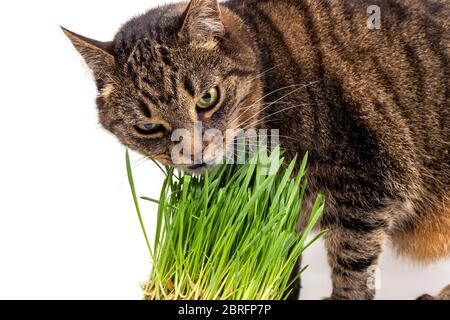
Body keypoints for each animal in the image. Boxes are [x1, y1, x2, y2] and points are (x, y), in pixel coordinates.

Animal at [62, 0, 450, 300]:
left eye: (208, 98)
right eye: (147, 127)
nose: (194, 152)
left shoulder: (368, 180)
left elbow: (352, 263)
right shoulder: (283, 205)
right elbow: (282, 255)